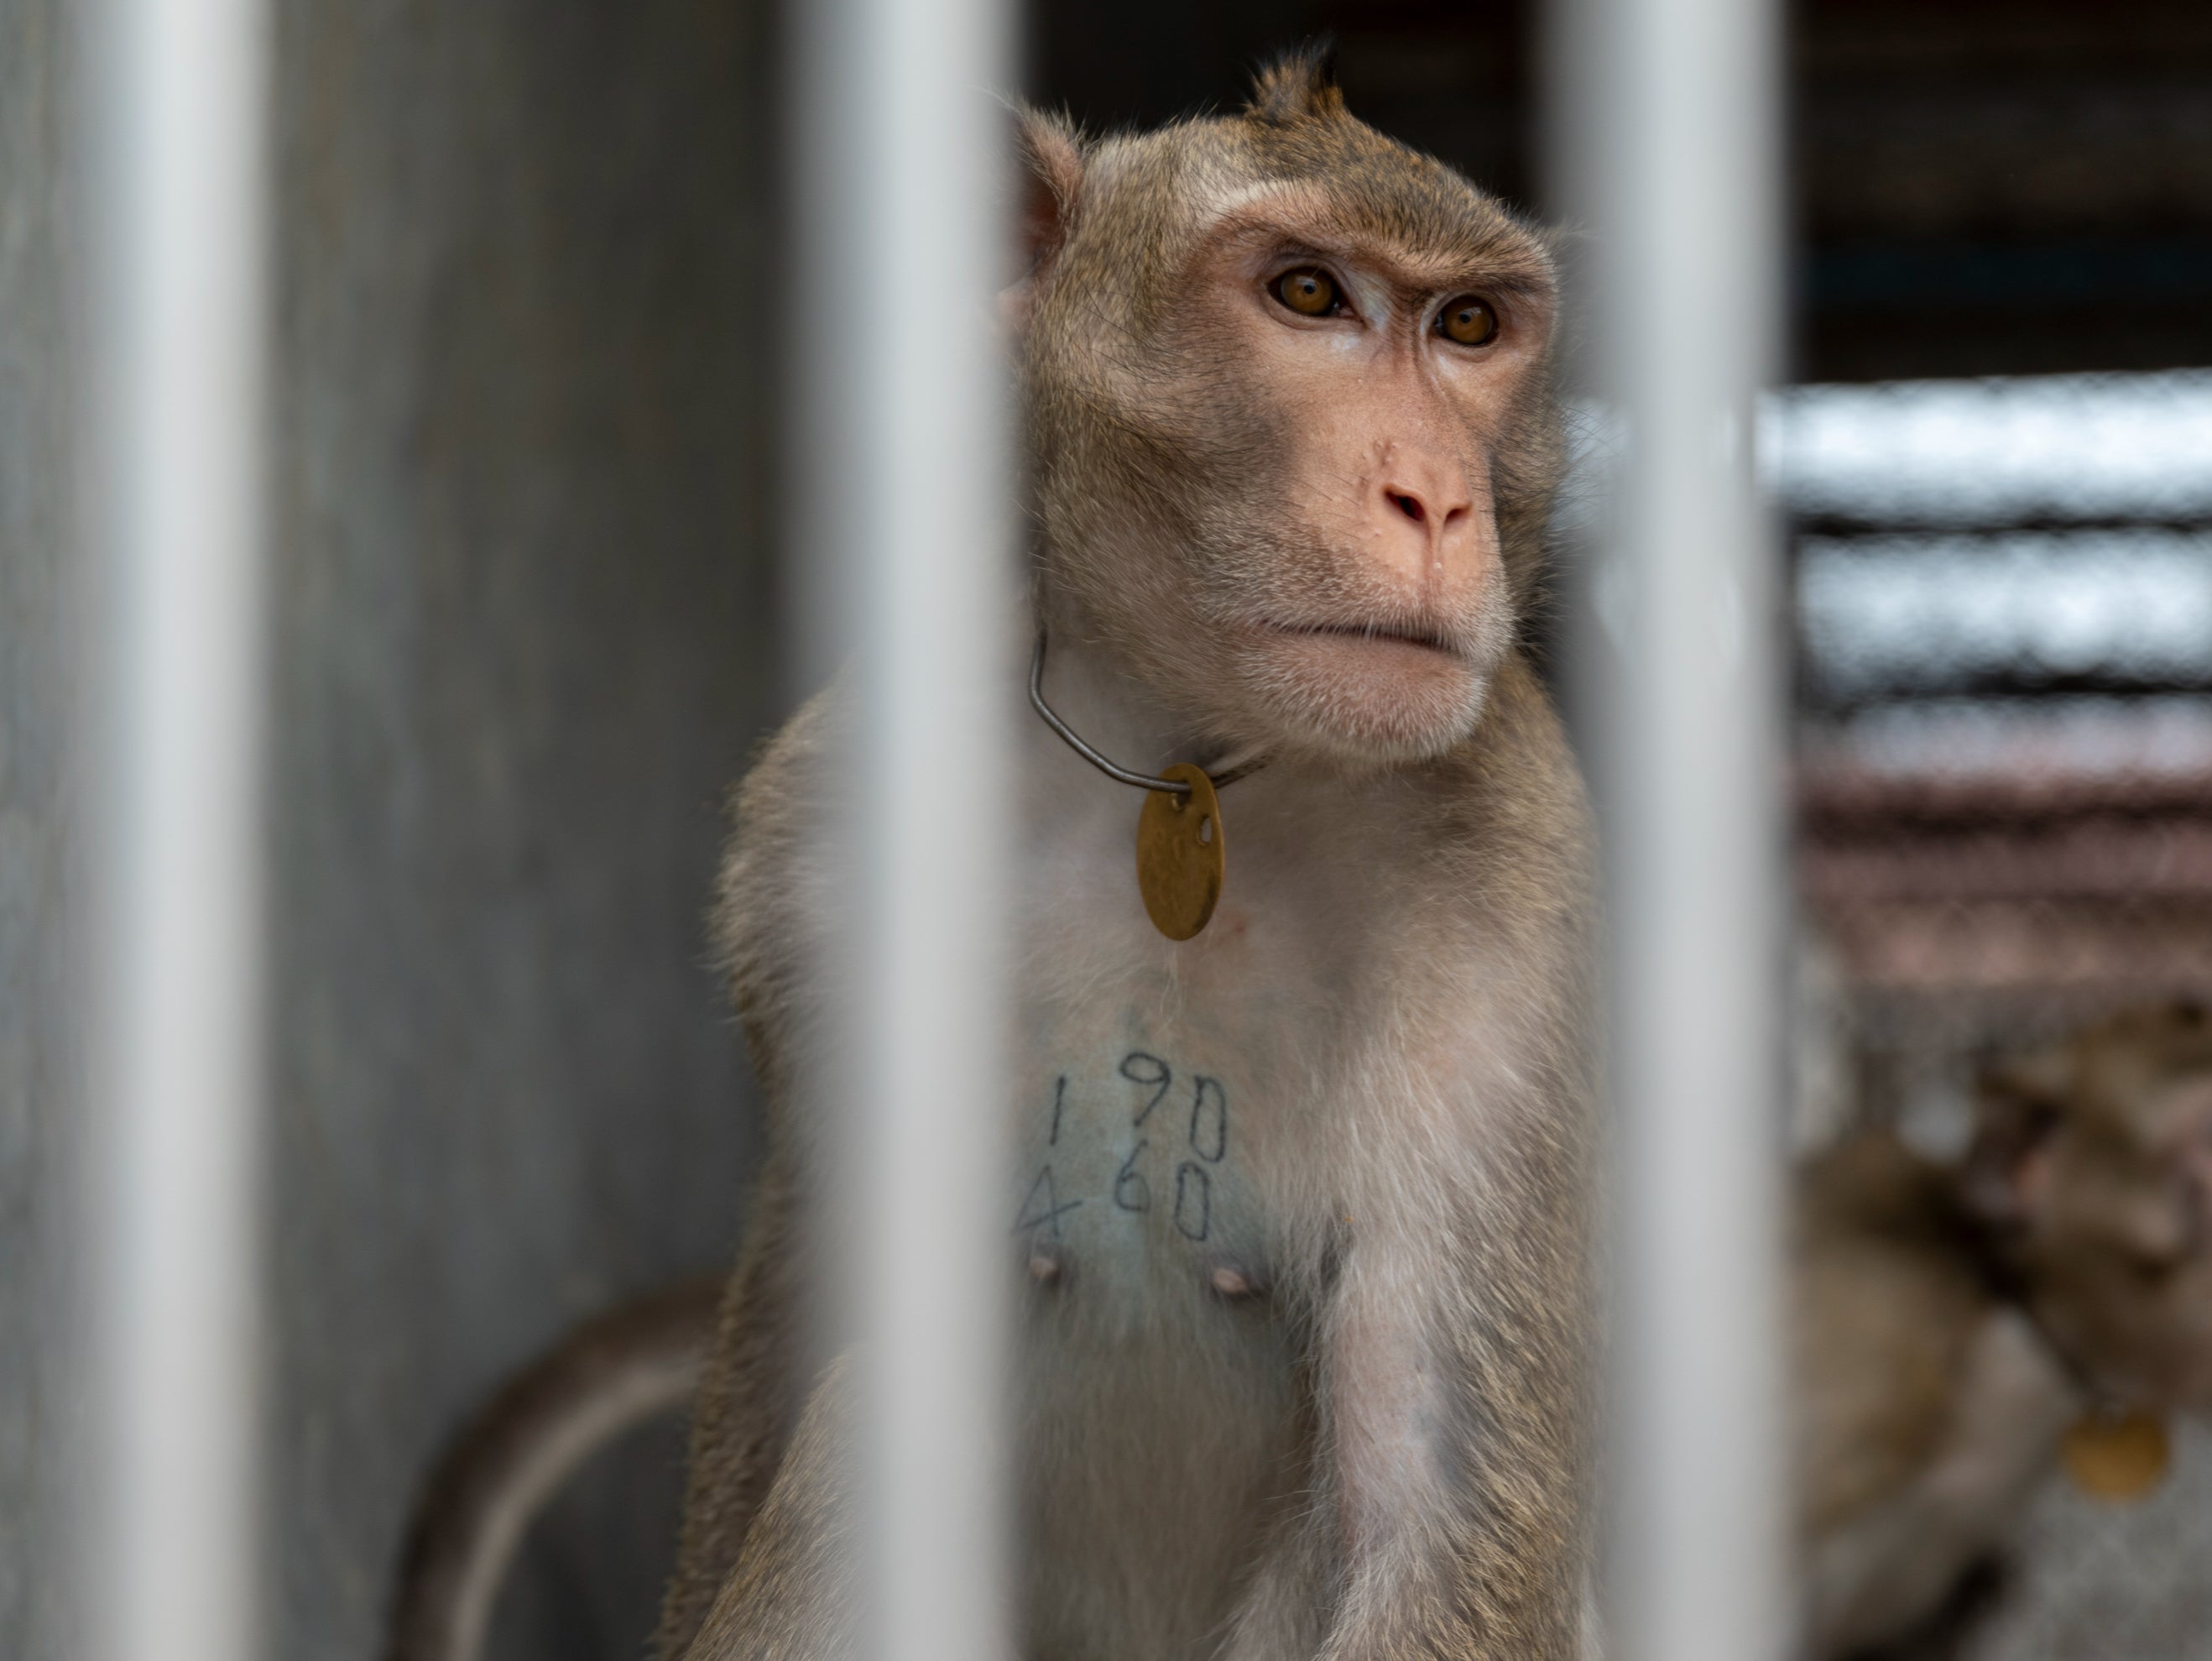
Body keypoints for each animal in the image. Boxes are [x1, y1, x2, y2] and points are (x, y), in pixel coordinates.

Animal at [654, 50, 1596, 1661]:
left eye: (1469, 326)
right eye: (1307, 294)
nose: (1437, 497)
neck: (1181, 763)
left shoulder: (1514, 910)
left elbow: (1434, 1504)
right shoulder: (815, 858)